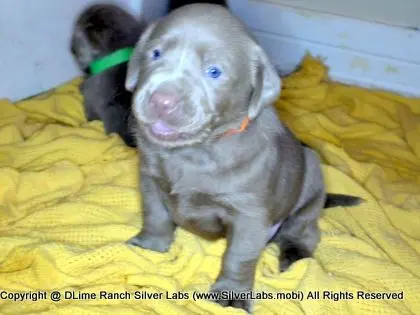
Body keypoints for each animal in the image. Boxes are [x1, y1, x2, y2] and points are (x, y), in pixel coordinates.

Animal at [124, 3, 360, 314]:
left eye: (214, 72)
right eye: (155, 54)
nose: (162, 101)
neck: (193, 152)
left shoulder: (250, 214)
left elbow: (239, 255)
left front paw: (231, 295)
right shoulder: (150, 180)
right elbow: (155, 216)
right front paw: (150, 247)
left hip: (310, 182)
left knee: (304, 232)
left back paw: (294, 256)